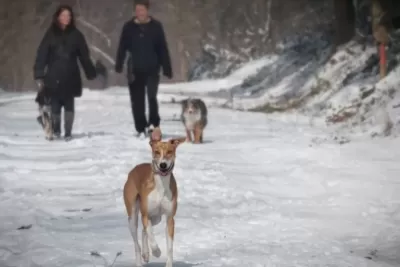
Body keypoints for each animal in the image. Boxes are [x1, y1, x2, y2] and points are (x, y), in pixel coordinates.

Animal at [123, 128, 184, 267]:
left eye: (169, 152)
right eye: (156, 152)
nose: (163, 165)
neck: (161, 185)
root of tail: (133, 169)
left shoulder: (169, 218)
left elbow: (170, 247)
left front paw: (168, 263)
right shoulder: (145, 214)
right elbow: (151, 234)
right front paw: (156, 251)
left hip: (157, 217)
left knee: (143, 231)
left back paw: (146, 254)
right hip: (133, 216)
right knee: (137, 242)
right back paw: (140, 260)